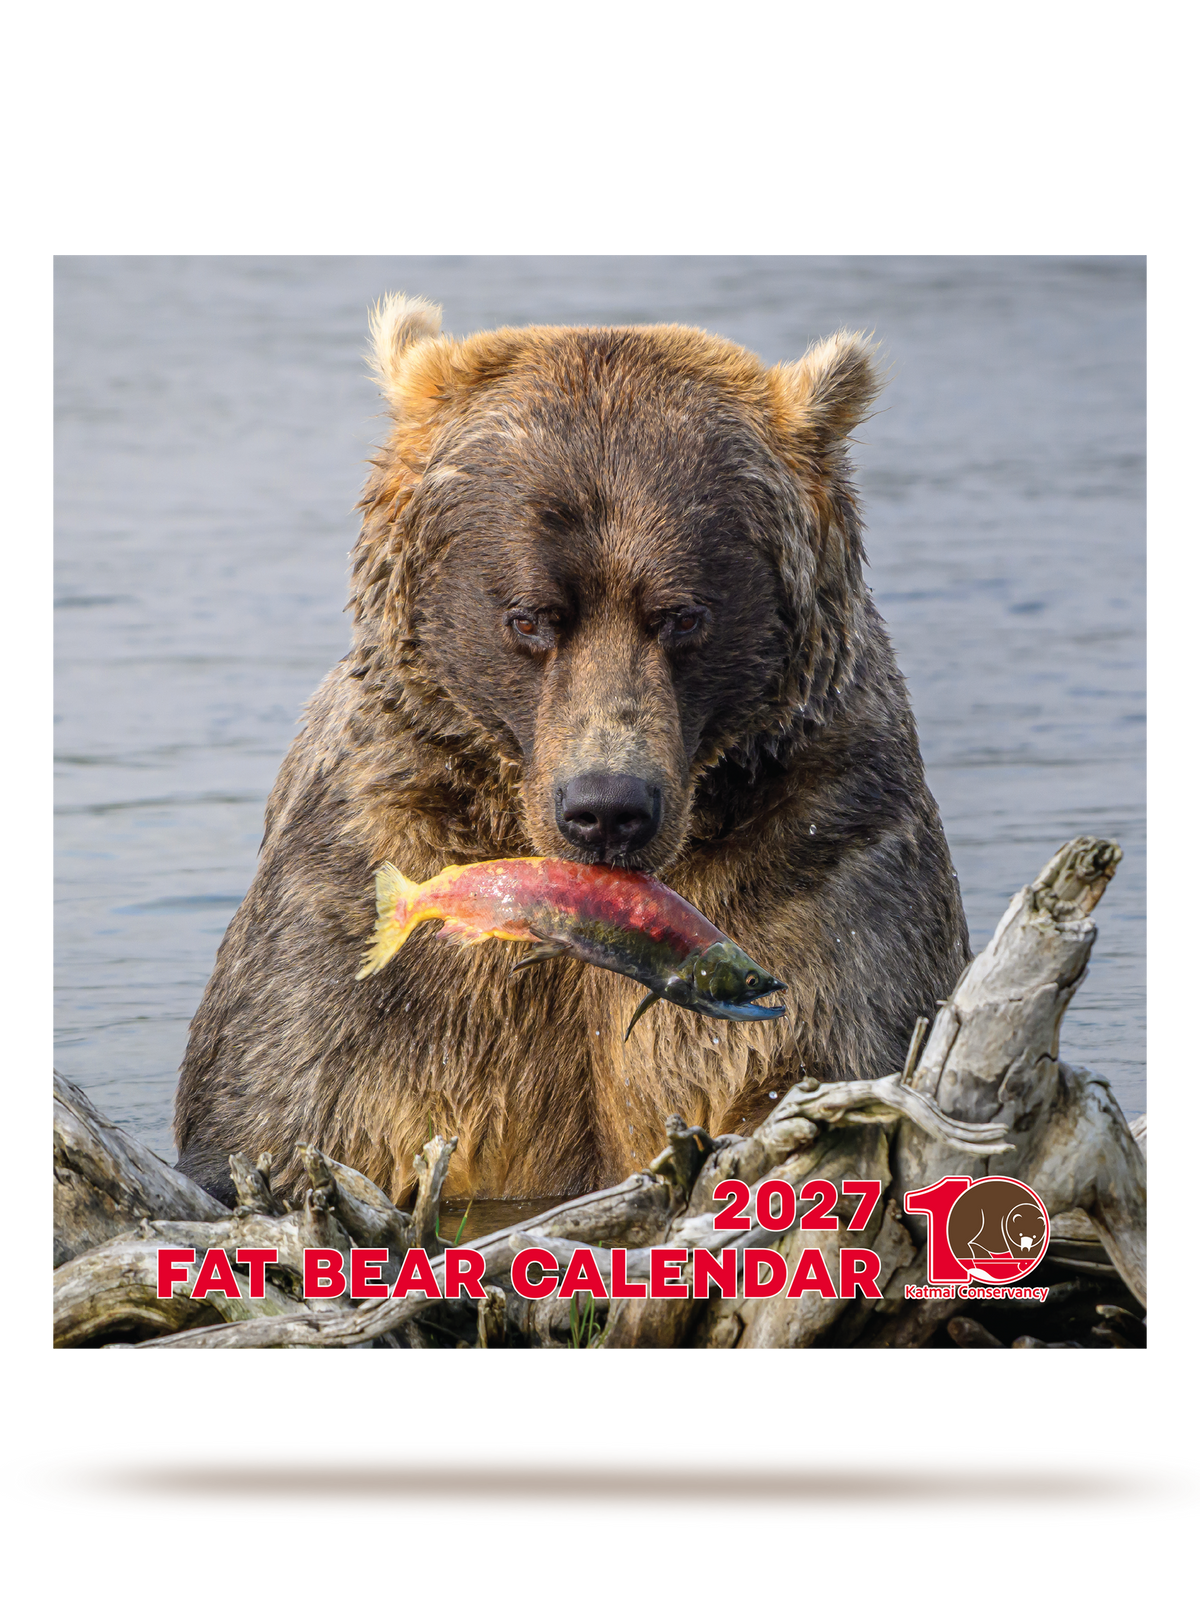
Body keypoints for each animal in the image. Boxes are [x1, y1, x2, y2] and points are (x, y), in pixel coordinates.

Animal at [174, 294, 971, 1209]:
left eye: (682, 615)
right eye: (529, 616)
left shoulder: (822, 857)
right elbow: (291, 1095)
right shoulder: (365, 891)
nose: (607, 808)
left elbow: (829, 1044)